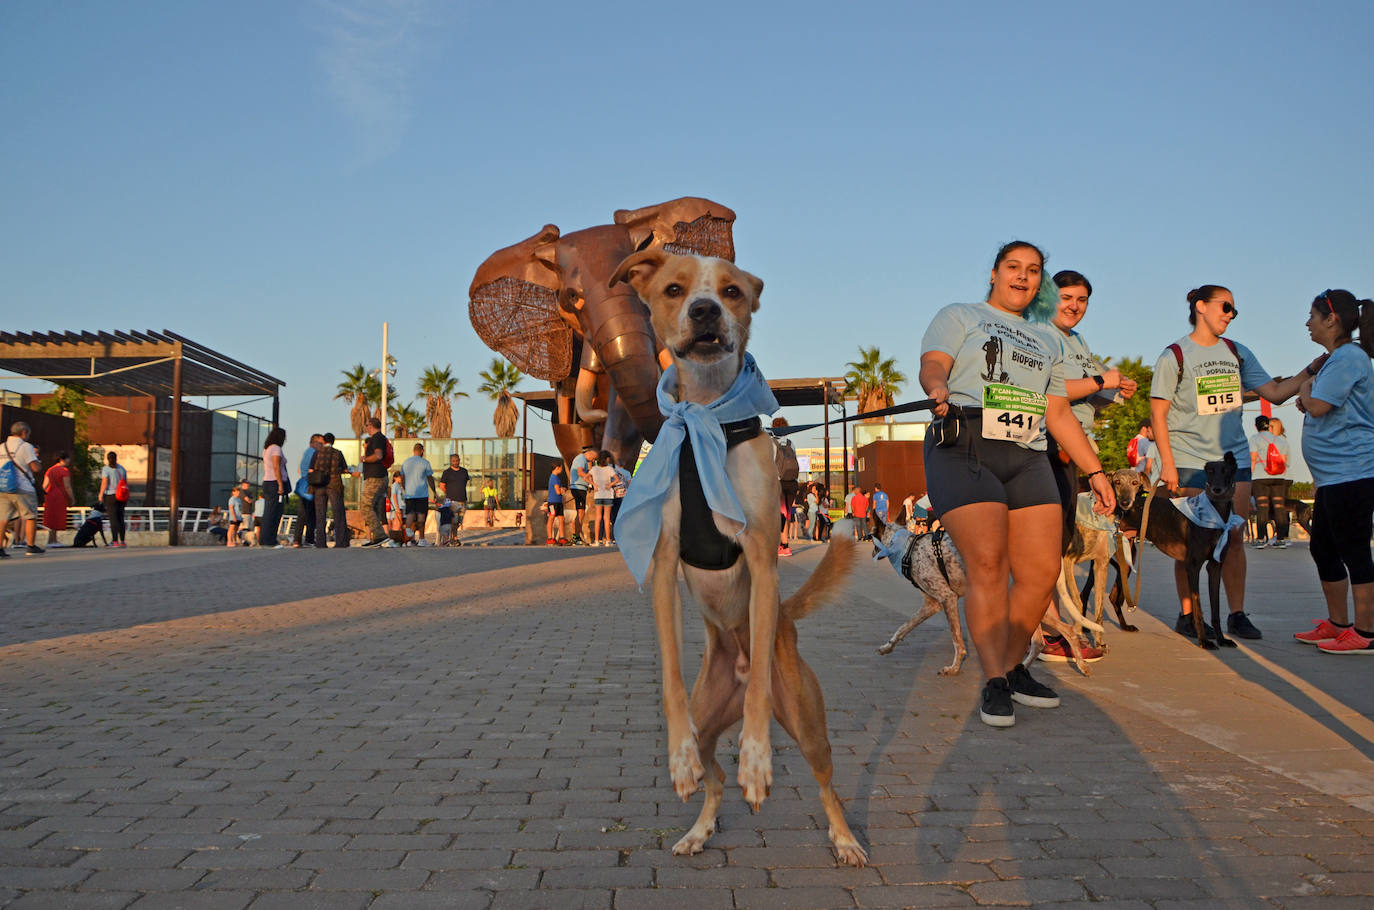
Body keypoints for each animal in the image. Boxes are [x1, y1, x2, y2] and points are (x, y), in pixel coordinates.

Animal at [607, 250, 862, 868]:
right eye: (675, 290)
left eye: (732, 291)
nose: (704, 311)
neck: (707, 417)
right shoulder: (663, 563)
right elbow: (670, 676)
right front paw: (677, 759)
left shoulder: (763, 559)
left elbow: (756, 718)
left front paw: (757, 759)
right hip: (709, 716)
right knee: (713, 777)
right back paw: (700, 827)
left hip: (806, 721)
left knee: (826, 782)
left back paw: (844, 838)